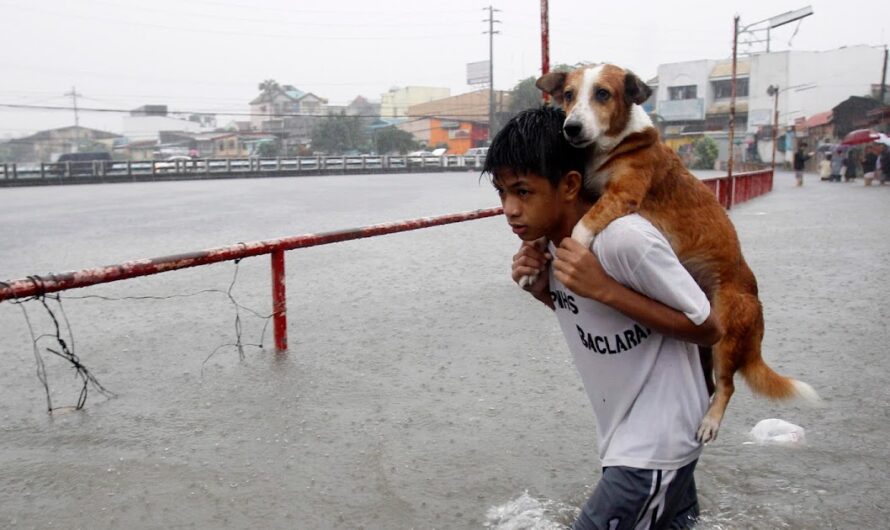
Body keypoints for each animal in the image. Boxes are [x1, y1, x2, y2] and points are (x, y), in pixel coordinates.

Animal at [536, 62, 820, 442]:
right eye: (568, 95)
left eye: (603, 94)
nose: (571, 128)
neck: (612, 146)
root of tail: (757, 308)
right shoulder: (590, 189)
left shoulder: (622, 195)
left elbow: (583, 225)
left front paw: (574, 250)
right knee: (712, 382)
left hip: (725, 334)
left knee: (727, 385)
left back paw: (710, 422)